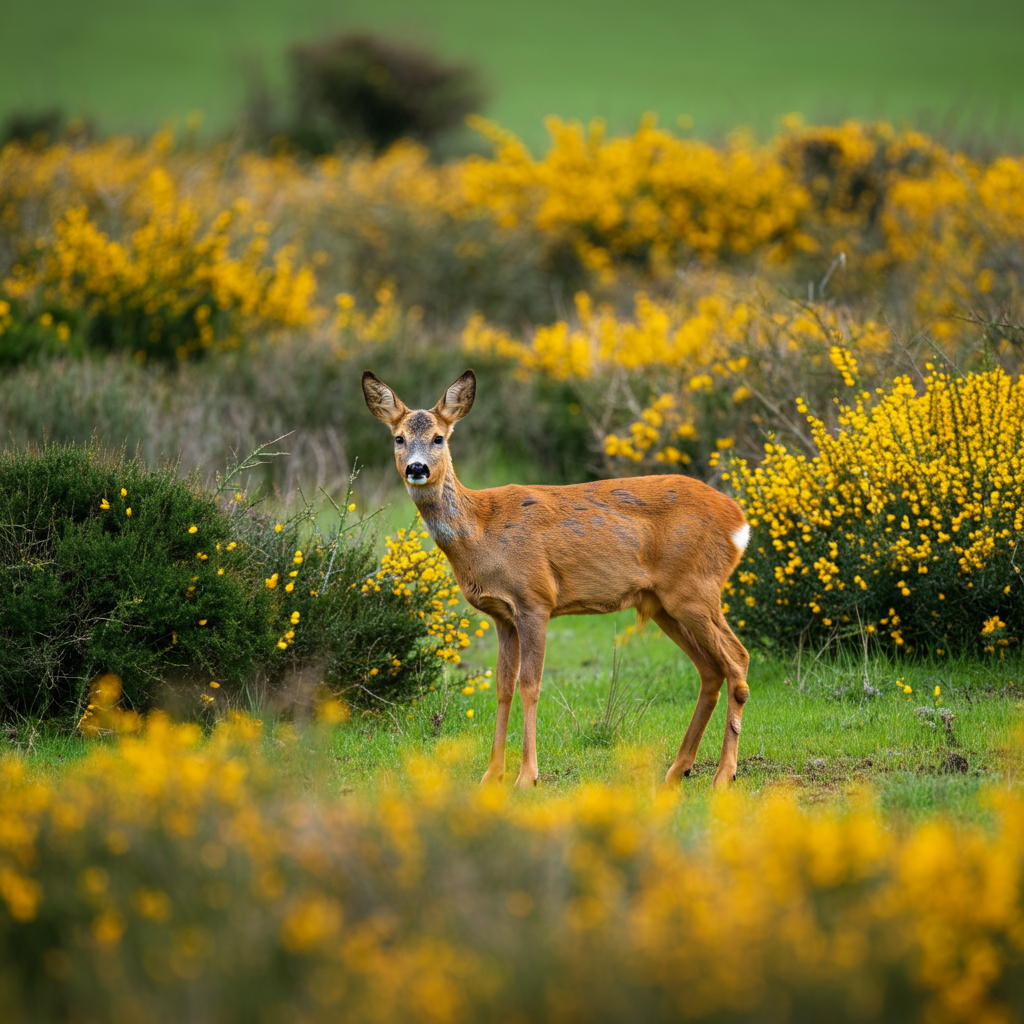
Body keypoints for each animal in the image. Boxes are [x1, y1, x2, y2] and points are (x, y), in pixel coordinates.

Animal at [362, 370, 753, 790]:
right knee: (711, 669)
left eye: (439, 437)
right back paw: (678, 769)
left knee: (738, 659)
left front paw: (526, 776)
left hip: (695, 590)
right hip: (663, 603)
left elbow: (529, 685)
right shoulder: (502, 616)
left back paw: (723, 774)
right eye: (398, 438)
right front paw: (491, 774)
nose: (416, 469)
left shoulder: (535, 599)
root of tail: (739, 521)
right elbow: (503, 687)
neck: (481, 531)